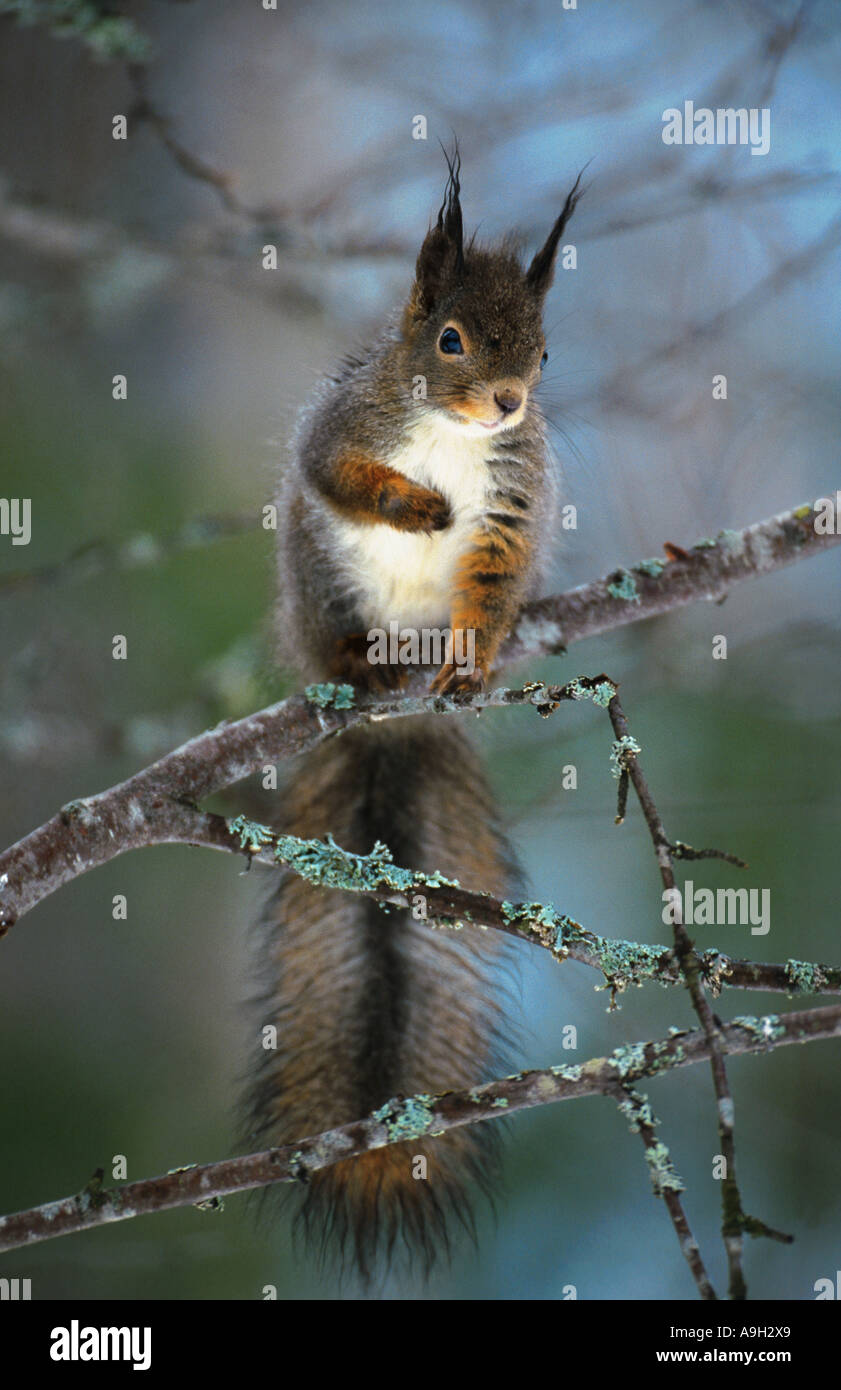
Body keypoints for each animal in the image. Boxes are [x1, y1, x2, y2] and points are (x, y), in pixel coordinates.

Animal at [244, 149, 584, 1283]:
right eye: (449, 340)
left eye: (543, 347)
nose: (511, 402)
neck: (446, 433)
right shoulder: (344, 428)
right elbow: (338, 473)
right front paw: (414, 507)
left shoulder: (513, 505)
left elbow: (490, 578)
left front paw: (472, 659)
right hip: (318, 588)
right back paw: (354, 663)